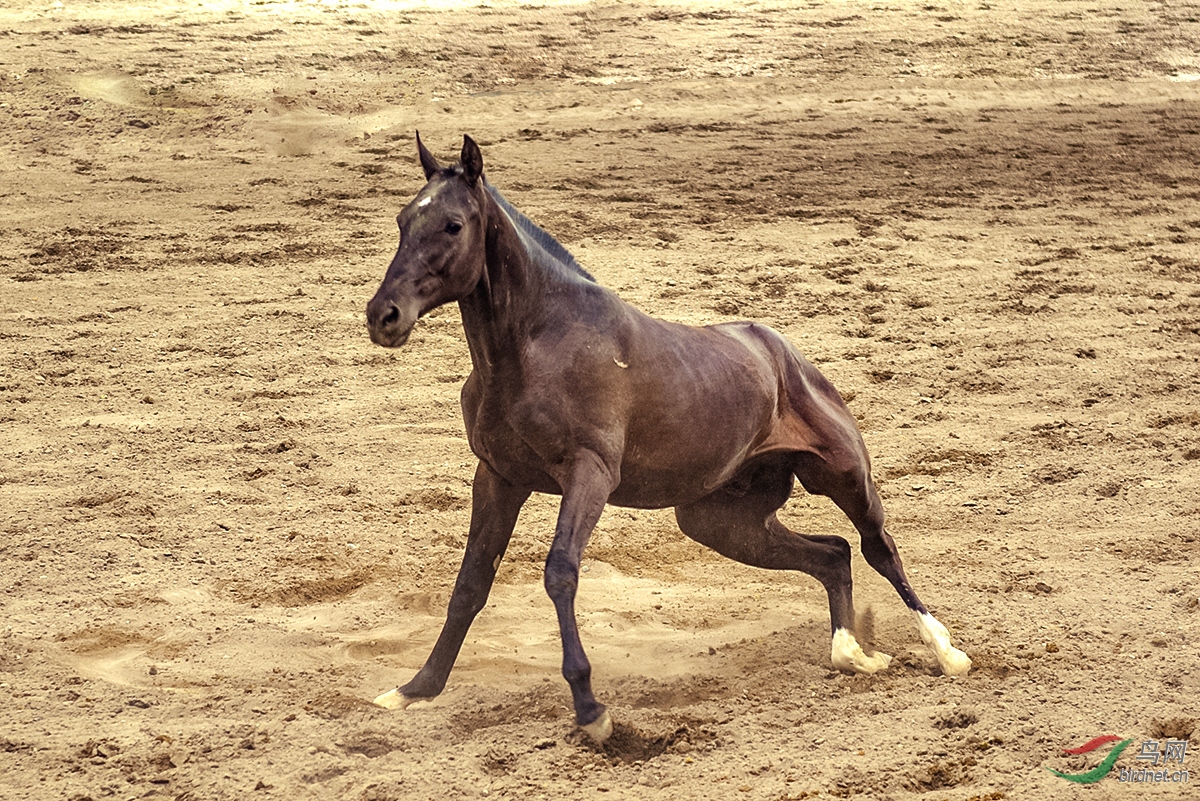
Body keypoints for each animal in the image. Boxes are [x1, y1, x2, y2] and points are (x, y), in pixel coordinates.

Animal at [360, 134, 969, 743]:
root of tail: (787, 357)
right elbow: (470, 583)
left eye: (454, 225)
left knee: (876, 548)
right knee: (834, 556)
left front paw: (592, 710)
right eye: (403, 221)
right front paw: (413, 690)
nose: (383, 316)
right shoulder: (499, 476)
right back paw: (852, 654)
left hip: (842, 477)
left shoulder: (589, 473)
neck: (534, 347)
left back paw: (947, 652)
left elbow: (560, 572)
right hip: (722, 522)